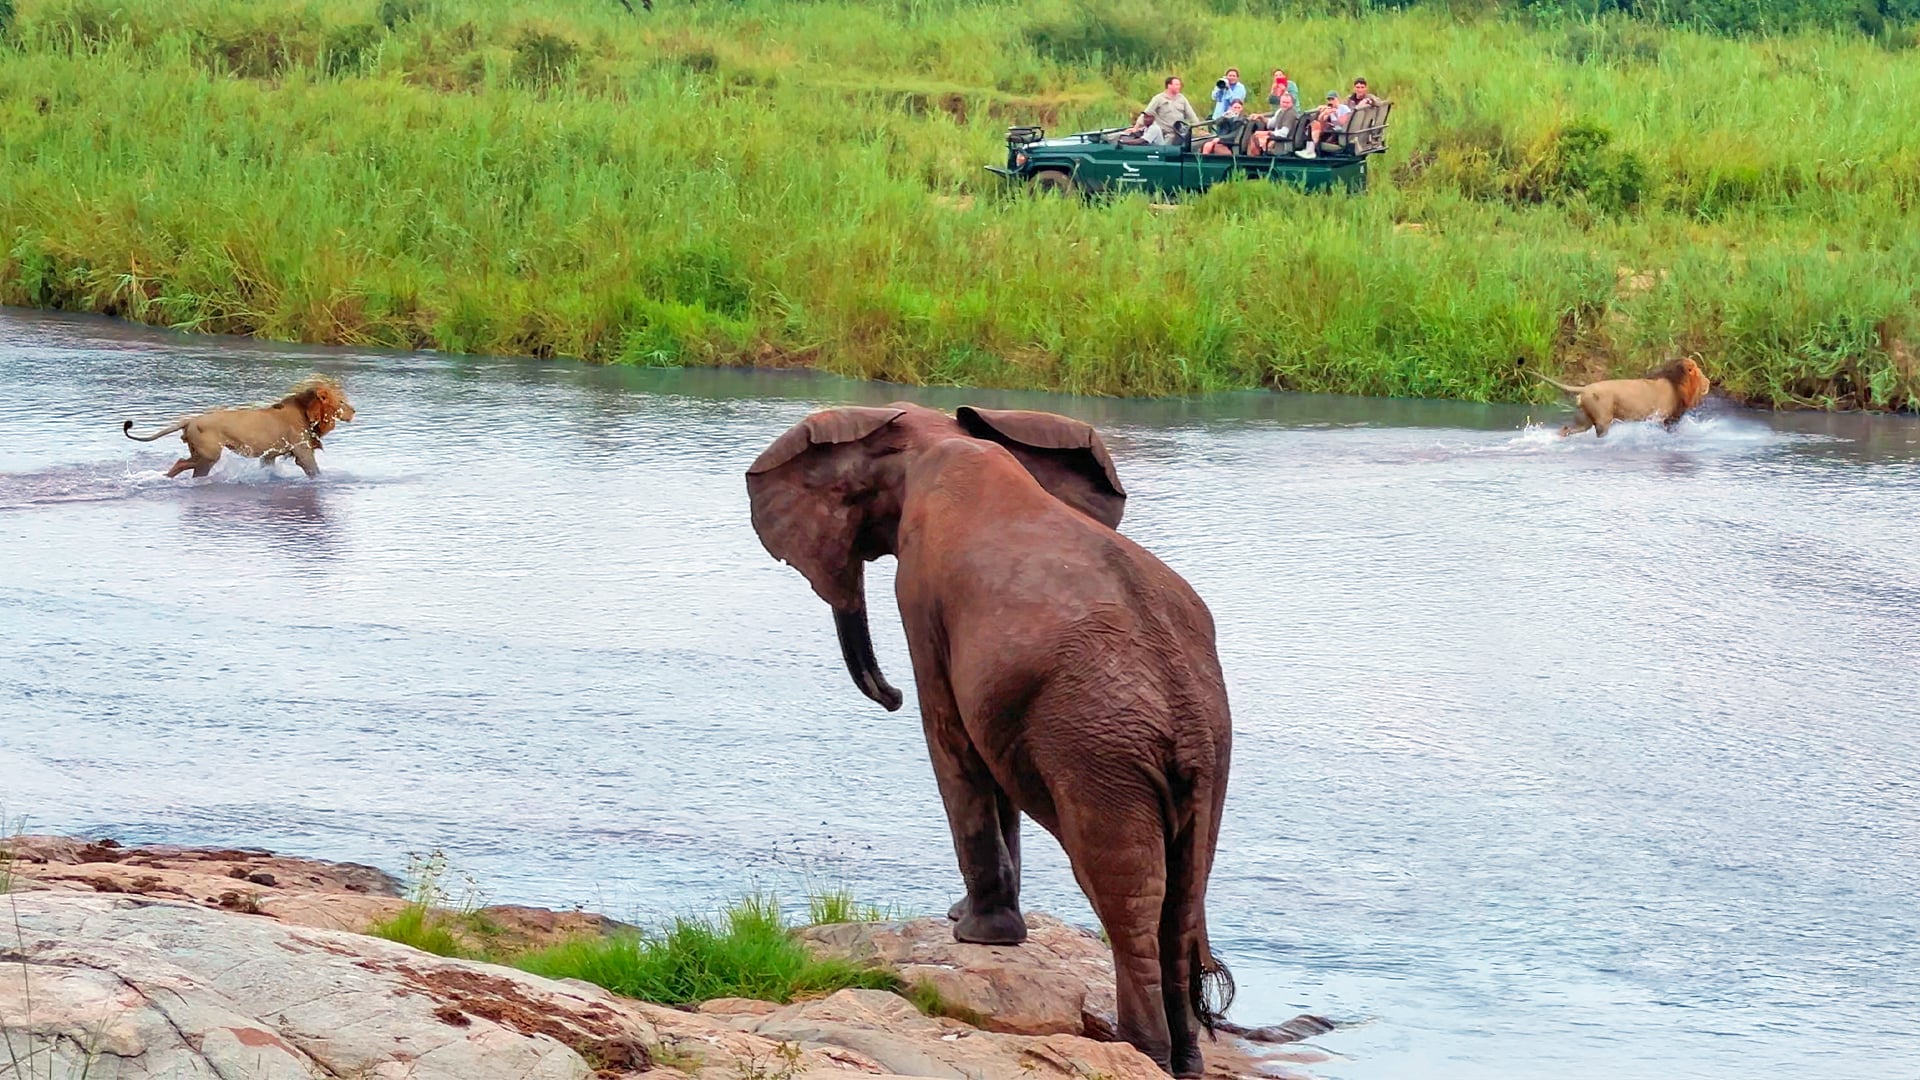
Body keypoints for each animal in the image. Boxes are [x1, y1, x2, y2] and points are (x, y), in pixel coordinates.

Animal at [122, 376, 356, 478]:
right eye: (341, 402)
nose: (354, 411)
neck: (306, 410)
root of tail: (190, 420)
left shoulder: (270, 455)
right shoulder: (302, 451)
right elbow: (315, 471)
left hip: (201, 453)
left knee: (183, 466)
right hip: (210, 454)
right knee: (183, 464)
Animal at [745, 402, 1235, 1077]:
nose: (890, 697)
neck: (937, 434)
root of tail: (1186, 709)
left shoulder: (921, 596)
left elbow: (951, 737)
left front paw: (975, 934)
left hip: (1101, 751)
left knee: (1126, 891)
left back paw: (1138, 1049)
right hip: (1203, 758)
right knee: (1184, 894)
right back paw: (1183, 1061)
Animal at [1532, 356, 1710, 438]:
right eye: (1700, 373)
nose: (1709, 382)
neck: (1676, 384)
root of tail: (1584, 388)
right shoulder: (1662, 418)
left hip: (1584, 421)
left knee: (1565, 429)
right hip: (1602, 420)